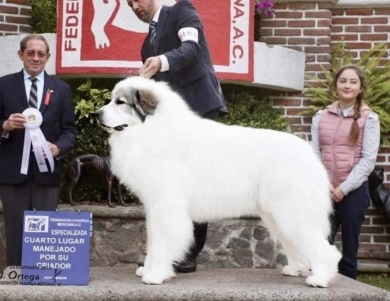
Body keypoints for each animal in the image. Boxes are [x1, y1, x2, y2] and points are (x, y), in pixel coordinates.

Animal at [96, 75, 342, 286]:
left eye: (120, 102)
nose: (97, 114)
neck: (152, 131)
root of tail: (309, 153)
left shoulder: (166, 207)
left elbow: (161, 244)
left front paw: (155, 275)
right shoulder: (154, 207)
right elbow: (153, 241)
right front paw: (147, 269)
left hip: (292, 213)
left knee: (326, 249)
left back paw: (320, 279)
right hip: (276, 216)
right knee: (295, 244)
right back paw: (295, 269)